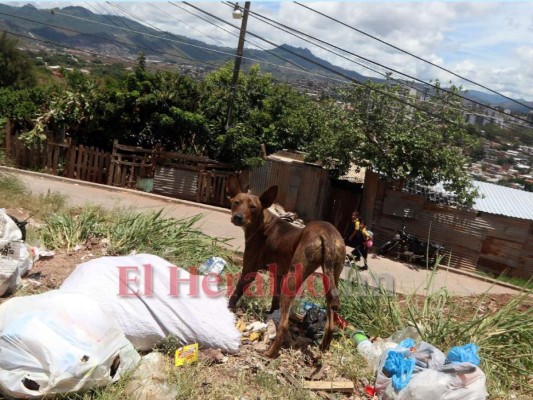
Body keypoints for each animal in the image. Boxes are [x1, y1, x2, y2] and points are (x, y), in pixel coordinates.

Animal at [224, 173, 344, 358]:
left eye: (253, 207)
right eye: (236, 202)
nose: (238, 218)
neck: (262, 222)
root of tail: (326, 233)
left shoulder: (249, 270)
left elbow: (236, 292)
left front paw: (229, 308)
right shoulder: (278, 274)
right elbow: (275, 299)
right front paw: (270, 314)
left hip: (293, 280)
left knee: (284, 326)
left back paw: (270, 353)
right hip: (330, 278)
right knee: (330, 322)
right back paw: (323, 347)